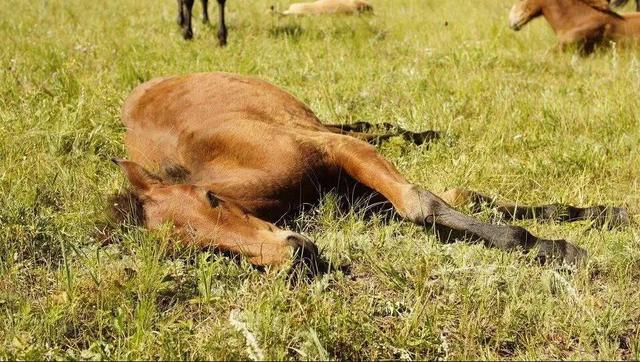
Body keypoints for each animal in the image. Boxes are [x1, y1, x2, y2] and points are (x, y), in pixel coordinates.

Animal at [111, 71, 632, 274]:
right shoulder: (357, 198)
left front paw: (560, 245)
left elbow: (424, 203)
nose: (298, 253)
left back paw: (425, 133)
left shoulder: (336, 150)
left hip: (313, 120)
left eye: (212, 199)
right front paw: (589, 220)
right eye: (205, 253)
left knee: (359, 126)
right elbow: (464, 199)